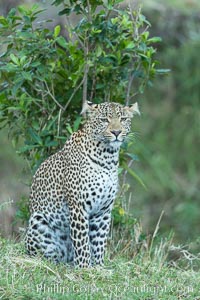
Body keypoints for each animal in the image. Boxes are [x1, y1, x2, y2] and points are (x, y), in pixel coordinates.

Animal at [25, 101, 140, 268]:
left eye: (123, 119)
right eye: (104, 120)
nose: (117, 132)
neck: (108, 157)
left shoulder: (103, 210)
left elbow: (99, 241)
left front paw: (99, 267)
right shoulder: (79, 207)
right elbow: (82, 242)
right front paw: (85, 268)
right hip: (38, 221)